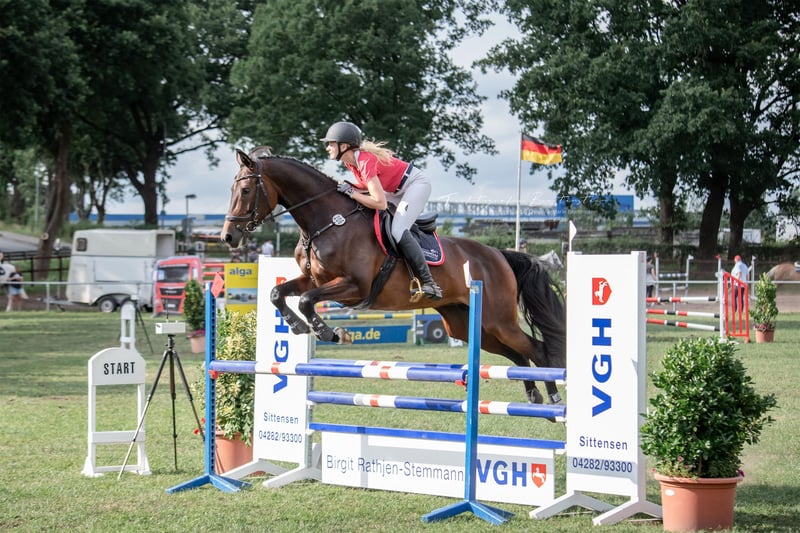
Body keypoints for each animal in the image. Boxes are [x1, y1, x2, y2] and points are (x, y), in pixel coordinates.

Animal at [220, 148, 566, 405]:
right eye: (232, 189)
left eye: (246, 190)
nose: (228, 237)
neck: (327, 221)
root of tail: (499, 254)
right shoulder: (315, 280)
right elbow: (278, 294)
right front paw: (297, 326)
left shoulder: (354, 287)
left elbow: (306, 300)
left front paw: (331, 333)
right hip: (467, 325)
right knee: (518, 355)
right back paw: (535, 398)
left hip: (498, 320)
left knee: (536, 349)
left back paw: (553, 400)